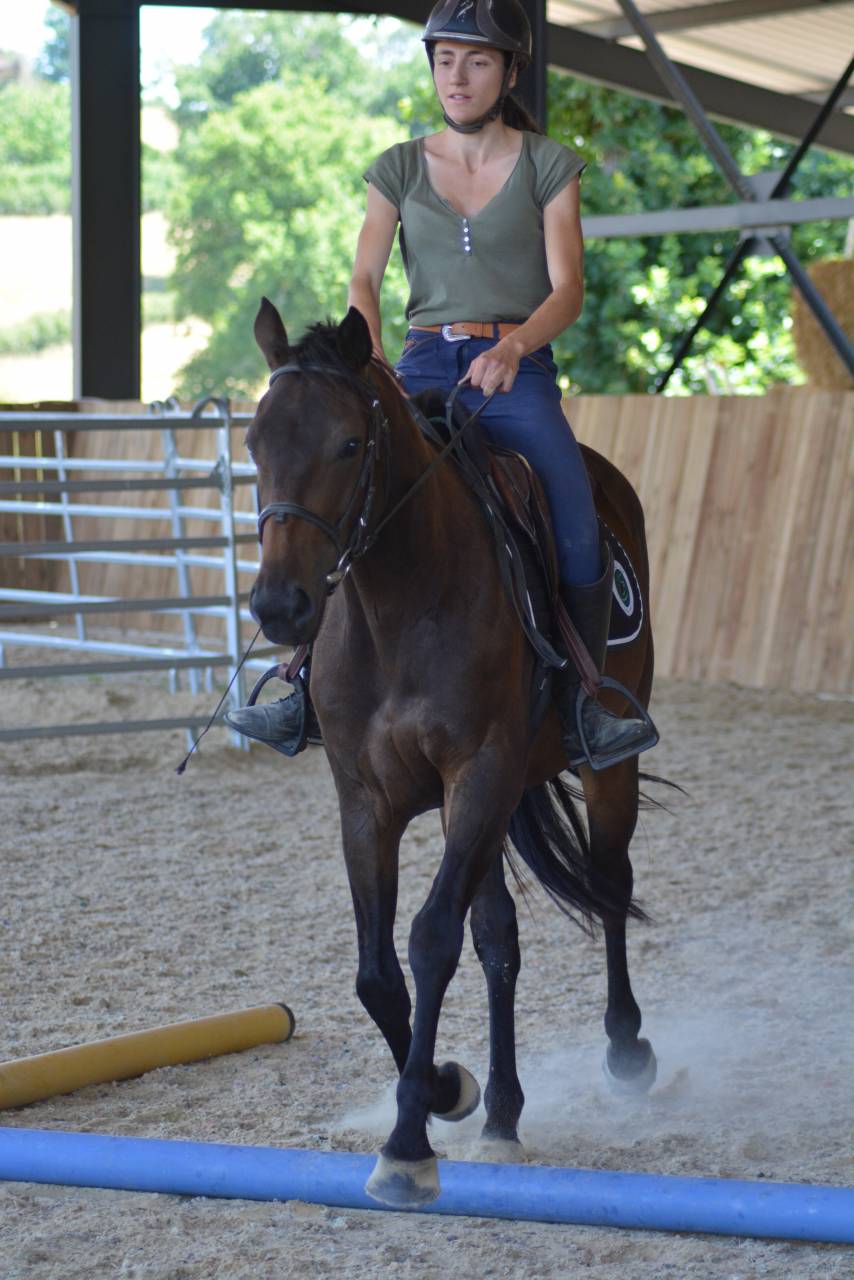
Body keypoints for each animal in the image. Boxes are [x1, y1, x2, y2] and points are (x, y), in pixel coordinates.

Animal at [246, 297, 659, 1208]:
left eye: (349, 445)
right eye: (255, 442)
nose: (280, 607)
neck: (401, 603)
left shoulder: (479, 776)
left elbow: (430, 940)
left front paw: (408, 1141)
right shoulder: (367, 800)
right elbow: (377, 971)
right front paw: (446, 1088)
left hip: (600, 768)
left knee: (610, 883)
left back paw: (626, 1049)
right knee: (499, 933)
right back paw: (502, 1108)